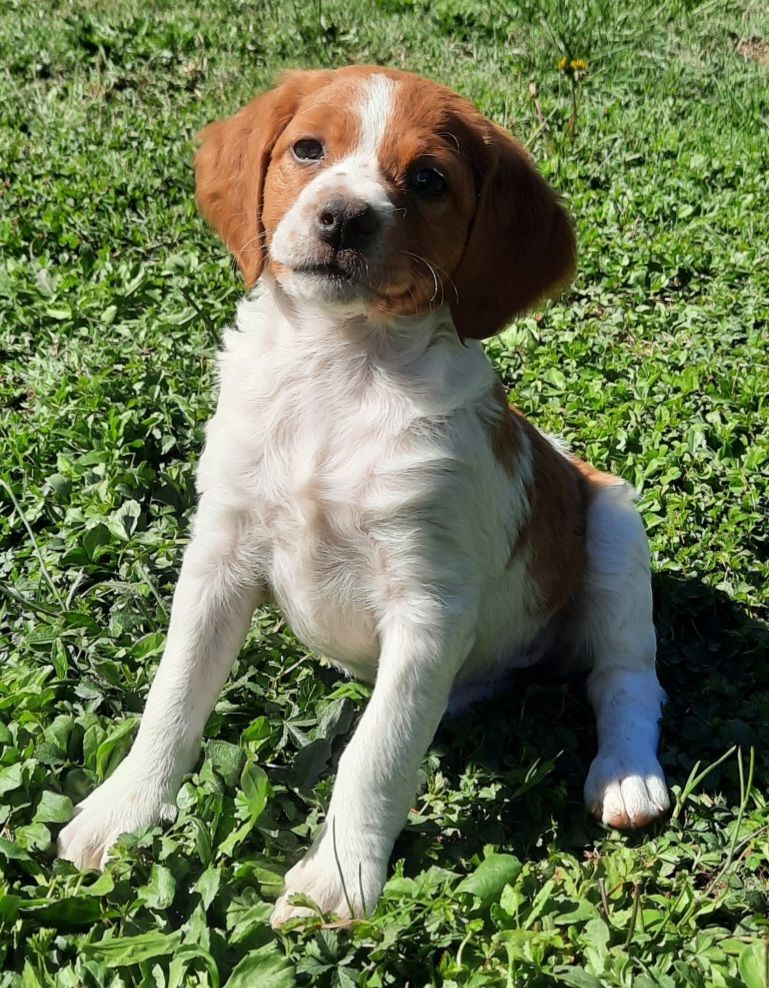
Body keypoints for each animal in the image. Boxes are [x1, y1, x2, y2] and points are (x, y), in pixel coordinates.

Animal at [57, 65, 668, 924]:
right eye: (308, 149)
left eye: (428, 180)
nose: (343, 216)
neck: (339, 367)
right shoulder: (219, 555)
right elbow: (172, 699)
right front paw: (124, 812)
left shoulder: (426, 607)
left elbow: (373, 756)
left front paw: (336, 883)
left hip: (613, 523)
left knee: (625, 675)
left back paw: (624, 774)